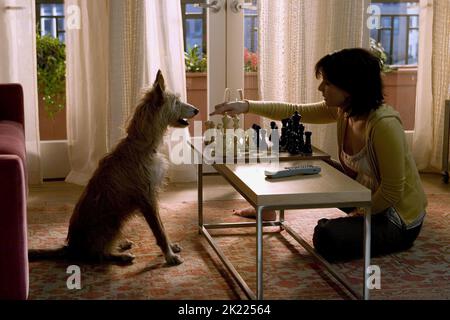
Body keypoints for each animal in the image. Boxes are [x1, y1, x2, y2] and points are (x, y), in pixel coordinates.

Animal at [28, 70, 197, 264]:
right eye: (176, 102)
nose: (197, 110)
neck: (141, 146)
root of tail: (71, 248)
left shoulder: (151, 195)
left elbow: (162, 227)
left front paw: (171, 247)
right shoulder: (147, 198)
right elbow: (159, 230)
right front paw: (169, 256)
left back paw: (120, 244)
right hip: (112, 222)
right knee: (97, 255)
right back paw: (121, 256)